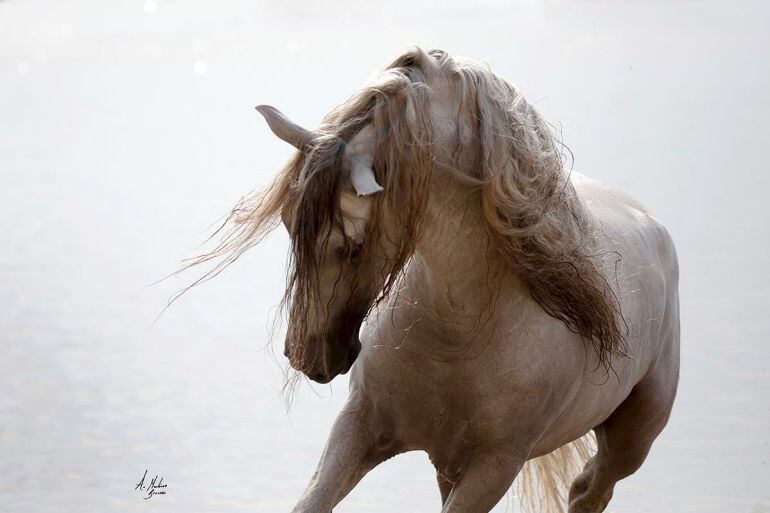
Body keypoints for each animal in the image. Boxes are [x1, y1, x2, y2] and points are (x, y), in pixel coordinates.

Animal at [186, 47, 680, 512]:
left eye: (352, 244)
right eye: (289, 223)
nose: (306, 354)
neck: (461, 330)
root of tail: (651, 222)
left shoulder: (494, 468)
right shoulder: (359, 428)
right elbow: (311, 502)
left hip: (630, 442)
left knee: (590, 489)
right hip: (447, 464)